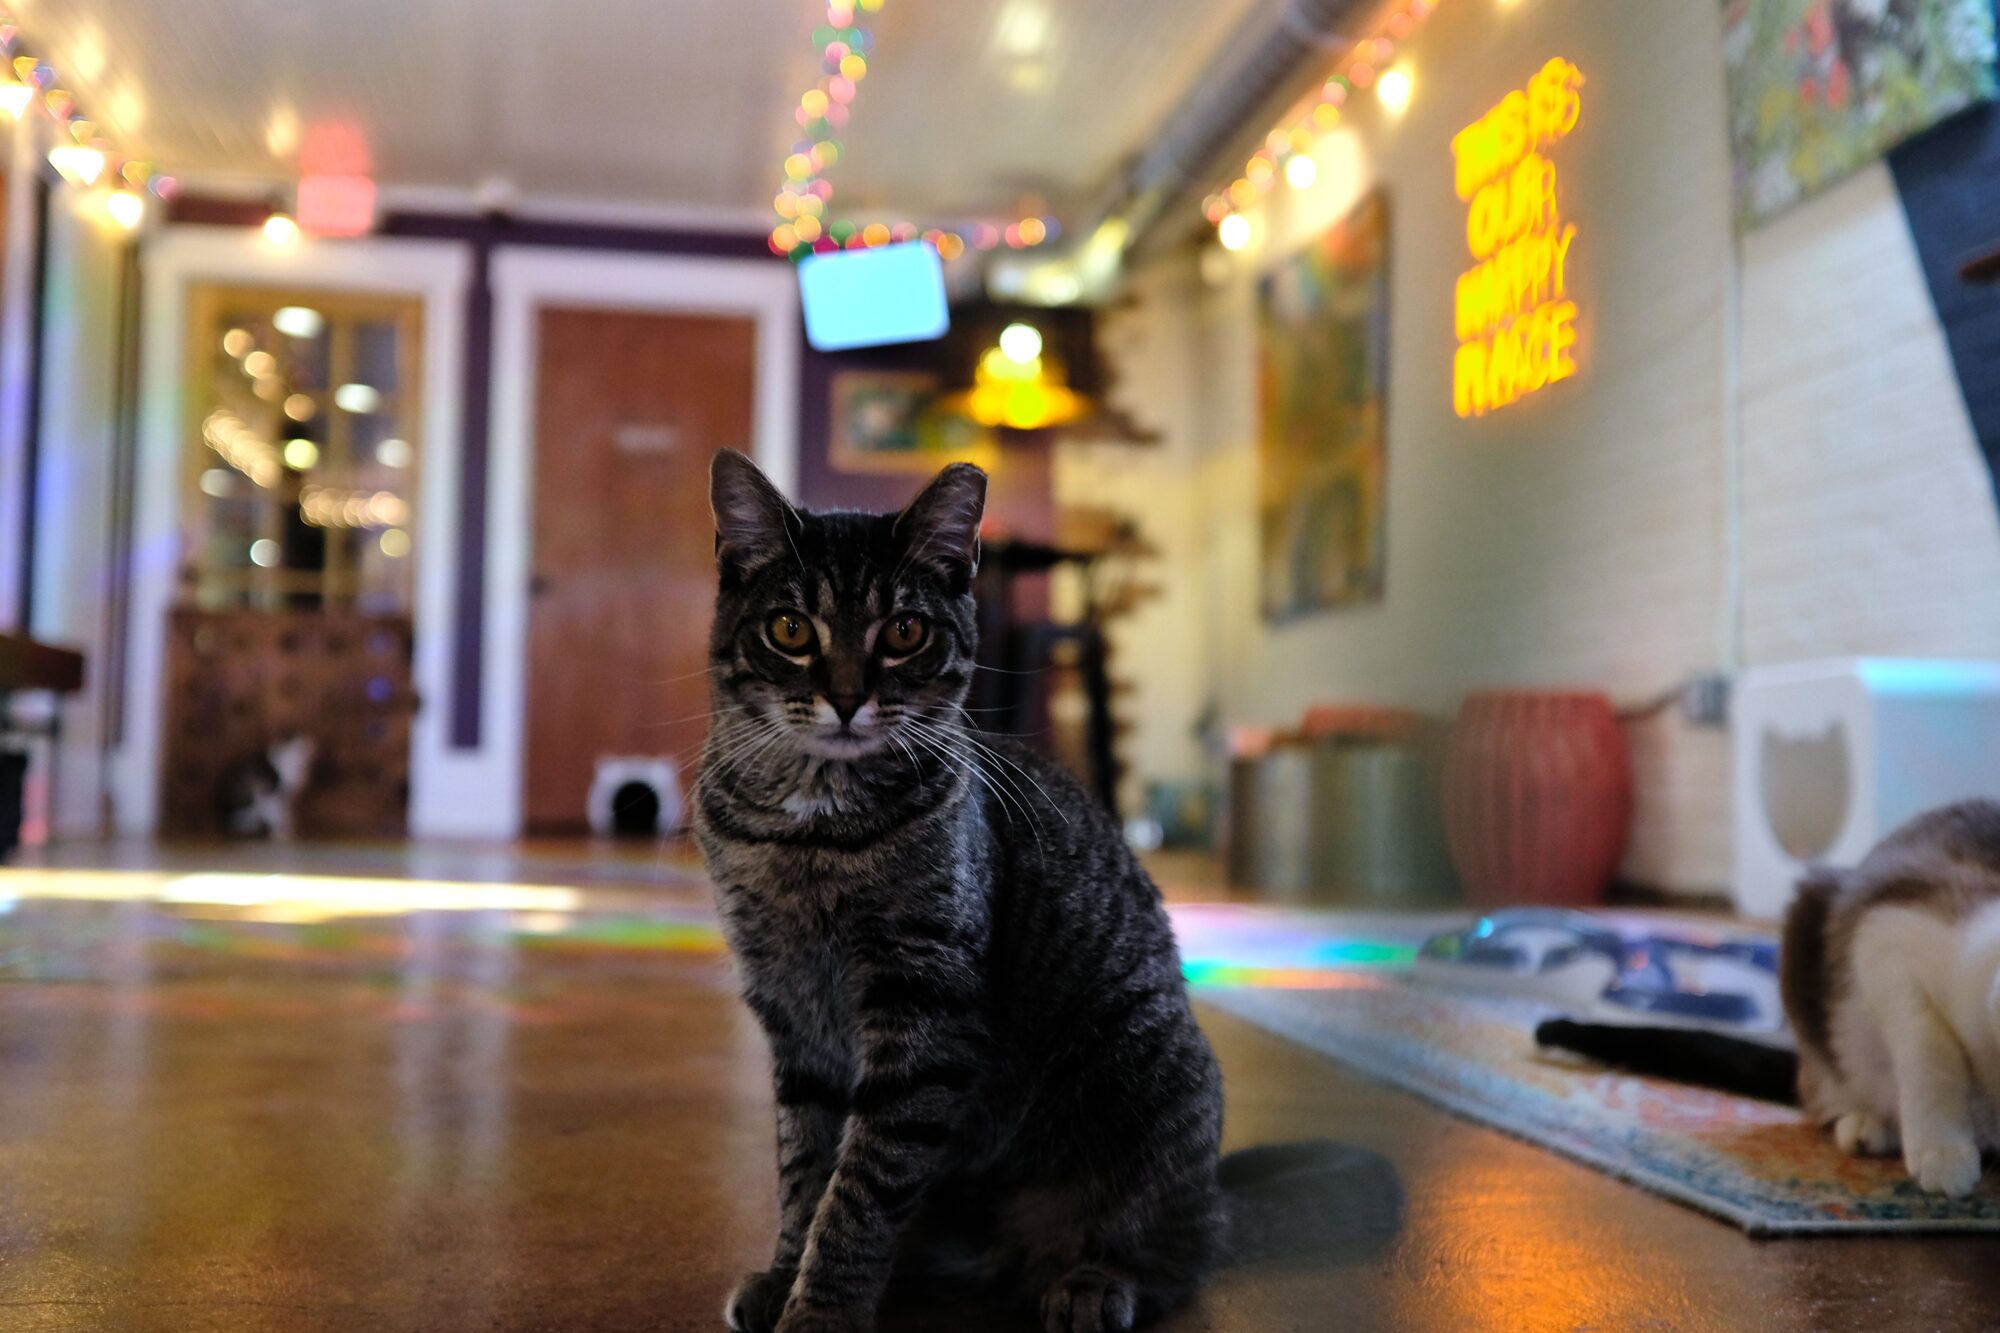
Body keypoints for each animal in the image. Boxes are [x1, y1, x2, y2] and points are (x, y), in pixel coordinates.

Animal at [692, 448, 1392, 1328]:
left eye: (905, 631)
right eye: (790, 629)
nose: (847, 698)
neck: (811, 831)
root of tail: (1219, 1196)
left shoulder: (923, 1010)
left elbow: (860, 1189)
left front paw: (822, 1309)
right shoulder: (789, 1012)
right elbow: (804, 1167)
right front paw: (787, 1272)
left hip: (1142, 1078)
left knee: (1173, 1254)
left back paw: (1094, 1281)